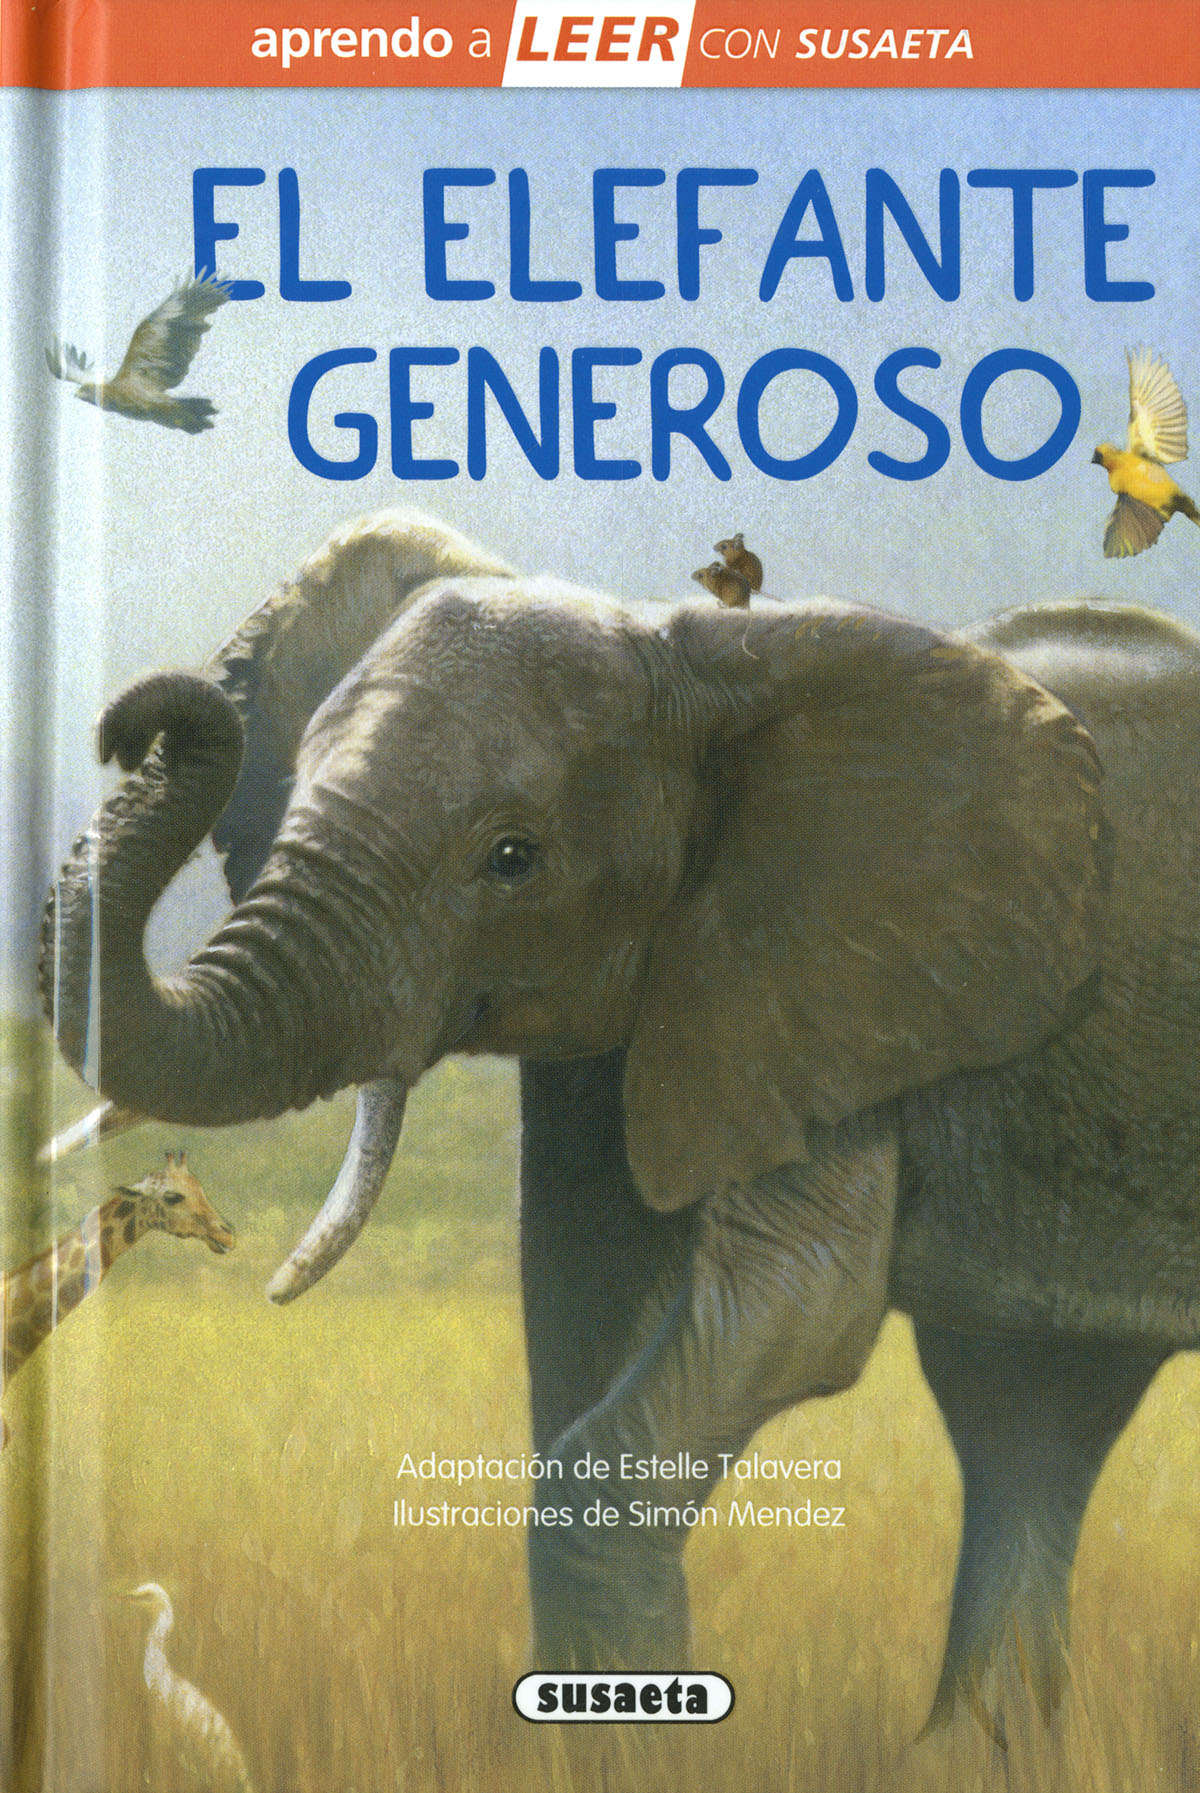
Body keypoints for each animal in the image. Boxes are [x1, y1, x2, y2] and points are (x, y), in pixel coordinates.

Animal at [39, 509, 1200, 1731]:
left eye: (512, 858)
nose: (134, 720)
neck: (701, 651)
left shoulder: (841, 975)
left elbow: (795, 1311)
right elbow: (578, 1299)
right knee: (1030, 1410)